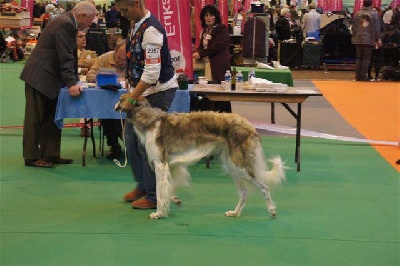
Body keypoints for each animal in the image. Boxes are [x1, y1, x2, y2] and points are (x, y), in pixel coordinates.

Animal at [115, 96, 284, 219]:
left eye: (121, 99)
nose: (115, 105)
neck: (150, 120)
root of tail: (249, 126)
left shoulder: (160, 164)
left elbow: (160, 192)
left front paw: (159, 213)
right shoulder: (172, 165)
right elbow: (170, 188)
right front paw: (175, 200)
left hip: (239, 165)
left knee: (264, 187)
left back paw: (272, 210)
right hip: (231, 166)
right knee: (244, 192)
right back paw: (235, 212)